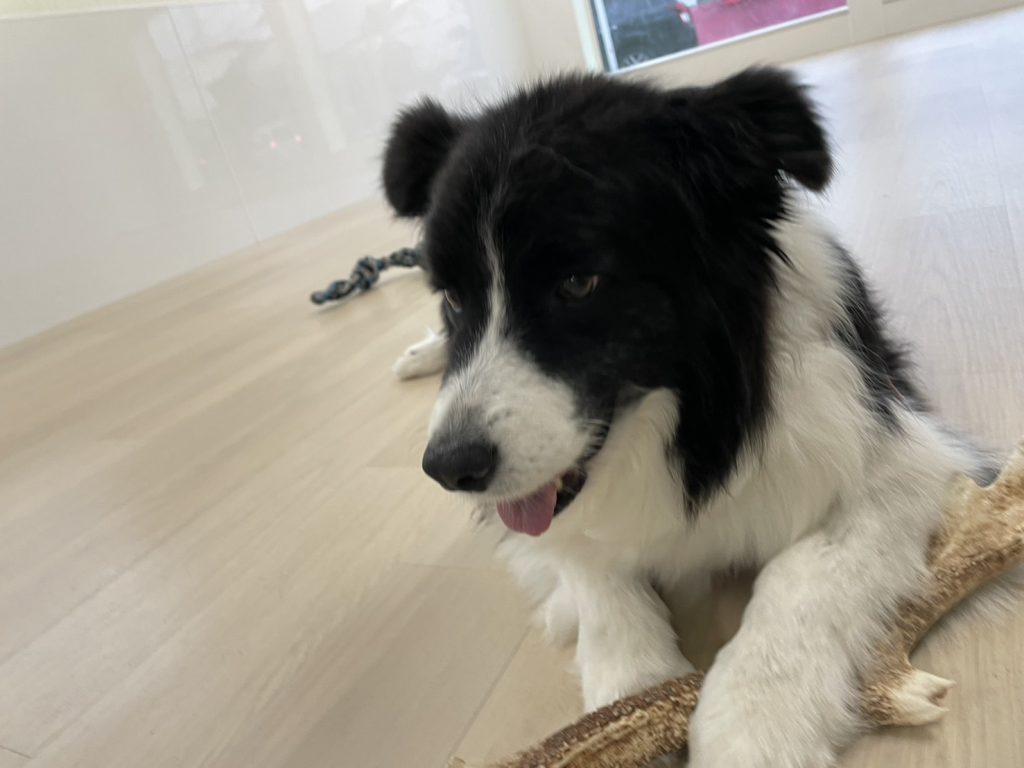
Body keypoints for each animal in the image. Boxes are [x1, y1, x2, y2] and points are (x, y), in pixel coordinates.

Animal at [381, 69, 995, 767]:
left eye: (578, 283)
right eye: (453, 297)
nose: (449, 468)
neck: (686, 425)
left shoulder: (900, 455)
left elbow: (802, 575)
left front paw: (753, 727)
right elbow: (589, 567)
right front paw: (629, 695)